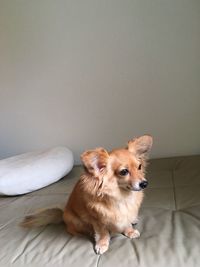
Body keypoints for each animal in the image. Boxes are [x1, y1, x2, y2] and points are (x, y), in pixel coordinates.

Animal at [21, 136, 152, 255]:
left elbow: (126, 222)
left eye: (139, 167)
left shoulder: (126, 213)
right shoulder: (97, 219)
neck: (122, 197)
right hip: (75, 221)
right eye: (124, 172)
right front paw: (102, 244)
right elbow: (103, 232)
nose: (144, 183)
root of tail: (62, 215)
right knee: (73, 230)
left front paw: (130, 231)